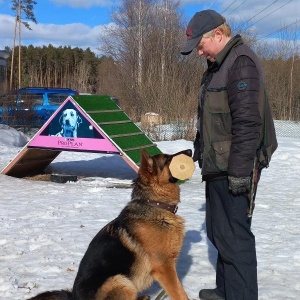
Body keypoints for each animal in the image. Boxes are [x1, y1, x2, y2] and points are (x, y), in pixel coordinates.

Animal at [28, 148, 192, 300]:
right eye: (168, 159)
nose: (191, 151)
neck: (155, 205)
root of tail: (73, 297)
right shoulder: (165, 268)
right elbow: (180, 293)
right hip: (120, 280)